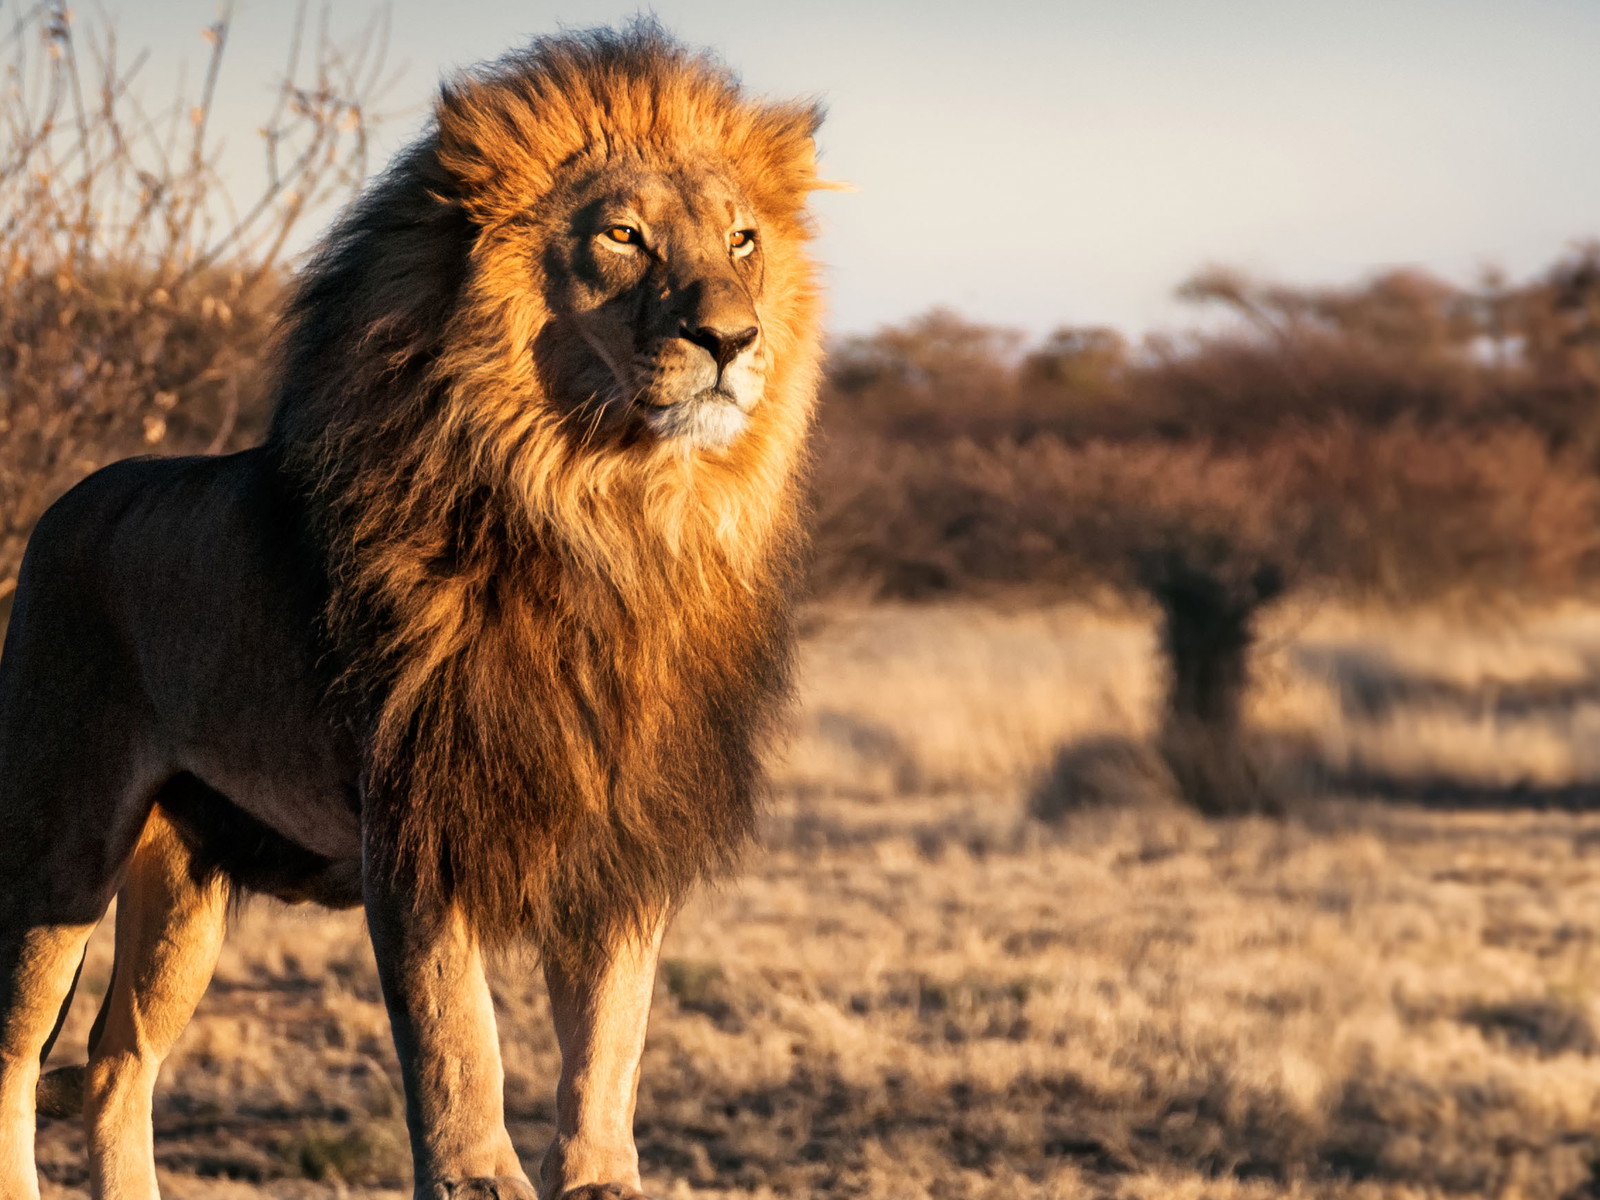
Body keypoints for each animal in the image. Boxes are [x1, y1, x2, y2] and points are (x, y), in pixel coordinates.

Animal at [0, 24, 826, 1200]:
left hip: (184, 885)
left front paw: (601, 1176)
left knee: (118, 1065)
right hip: (55, 849)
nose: (731, 338)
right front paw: (480, 1175)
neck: (608, 518)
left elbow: (610, 1044)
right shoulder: (419, 823)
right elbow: (456, 1039)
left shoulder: (623, 836)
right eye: (622, 236)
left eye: (743, 239)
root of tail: (67, 503)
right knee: (17, 1056)